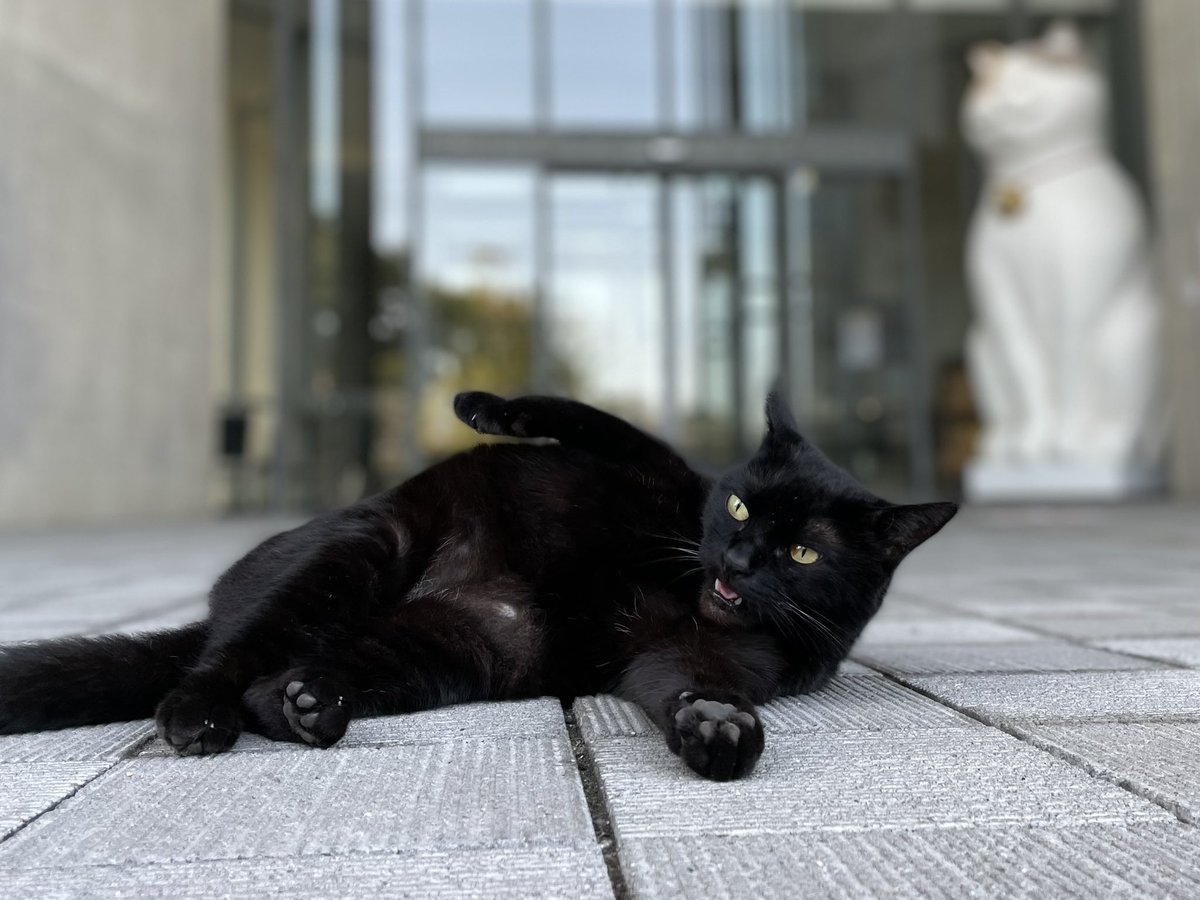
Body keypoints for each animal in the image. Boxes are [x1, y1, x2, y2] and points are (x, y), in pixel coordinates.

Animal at [0, 392, 956, 781]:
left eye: (802, 555)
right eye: (738, 504)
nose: (739, 562)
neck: (687, 588)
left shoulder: (690, 657)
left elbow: (690, 686)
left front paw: (717, 731)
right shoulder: (656, 468)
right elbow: (584, 416)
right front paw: (480, 406)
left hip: (464, 647)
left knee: (273, 684)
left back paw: (312, 705)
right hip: (362, 547)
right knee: (227, 659)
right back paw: (199, 714)